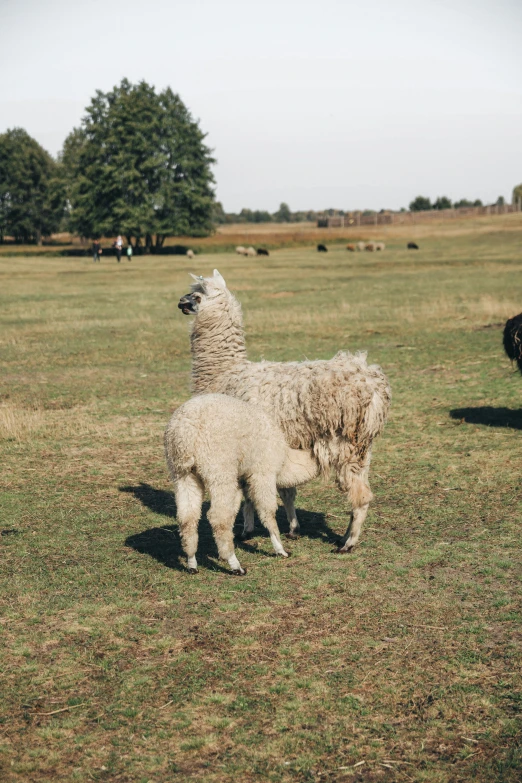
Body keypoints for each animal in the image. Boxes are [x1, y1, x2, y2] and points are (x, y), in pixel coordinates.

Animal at [165, 396, 314, 572]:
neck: (285, 459)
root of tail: (186, 432)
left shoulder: (241, 478)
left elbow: (240, 506)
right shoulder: (263, 472)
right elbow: (268, 511)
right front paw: (281, 550)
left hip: (182, 474)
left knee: (187, 518)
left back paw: (192, 563)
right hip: (219, 470)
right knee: (218, 518)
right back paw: (235, 565)